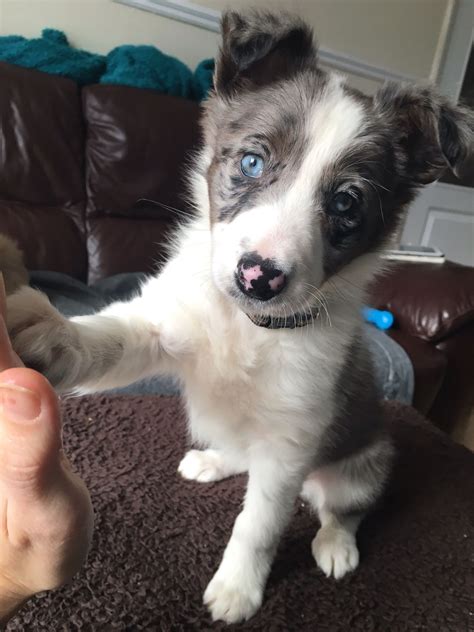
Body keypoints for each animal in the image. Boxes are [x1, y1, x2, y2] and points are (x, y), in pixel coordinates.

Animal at [8, 11, 474, 628]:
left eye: (346, 203)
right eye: (252, 162)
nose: (259, 277)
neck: (248, 324)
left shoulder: (290, 442)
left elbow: (258, 525)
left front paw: (238, 589)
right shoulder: (164, 326)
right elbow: (110, 338)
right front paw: (50, 330)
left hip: (362, 466)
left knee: (342, 509)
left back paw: (336, 544)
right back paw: (216, 460)